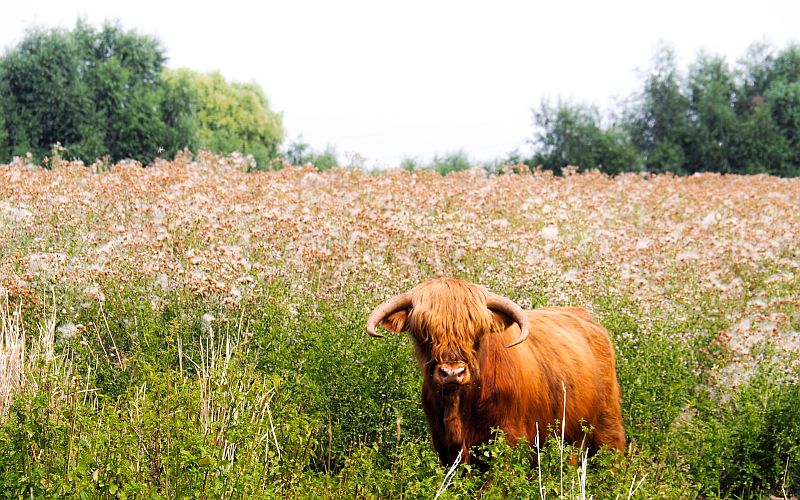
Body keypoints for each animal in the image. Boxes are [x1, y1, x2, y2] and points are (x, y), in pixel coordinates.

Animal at [365, 277, 625, 465]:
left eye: (477, 334)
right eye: (424, 334)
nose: (452, 373)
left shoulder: (509, 439)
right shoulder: (444, 446)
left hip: (607, 428)